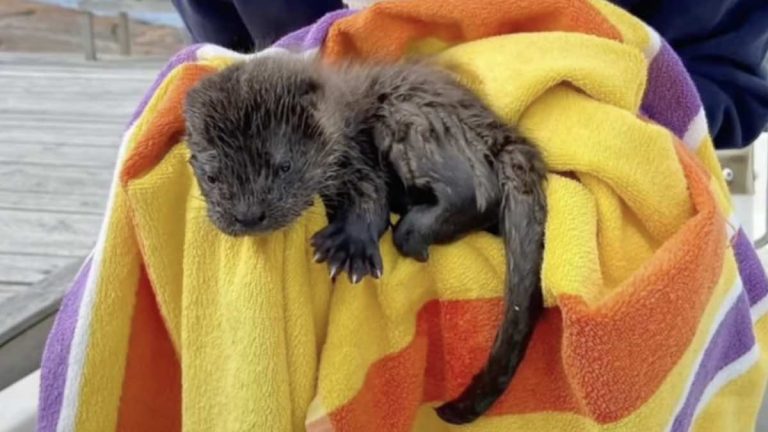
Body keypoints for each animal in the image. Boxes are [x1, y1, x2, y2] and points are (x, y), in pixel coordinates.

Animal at [184, 55, 547, 425]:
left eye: (285, 165)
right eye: (212, 177)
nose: (248, 215)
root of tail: (502, 133)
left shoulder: (355, 150)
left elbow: (370, 192)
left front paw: (349, 248)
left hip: (411, 116)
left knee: (475, 192)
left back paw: (412, 230)